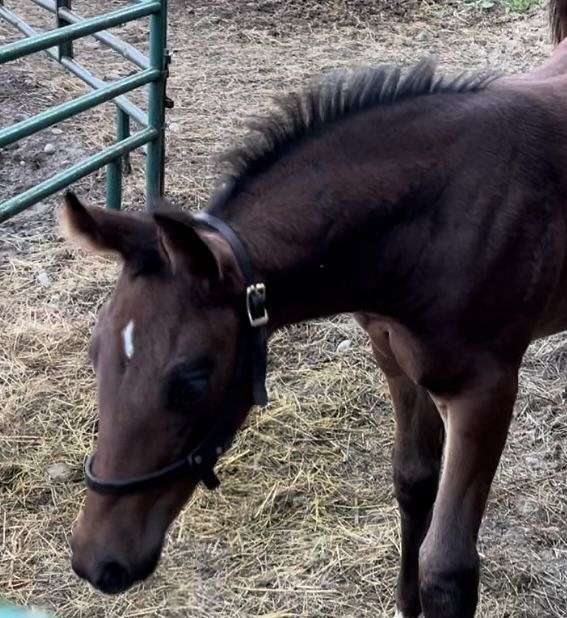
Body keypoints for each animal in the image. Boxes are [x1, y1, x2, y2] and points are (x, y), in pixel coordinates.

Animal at [64, 3, 567, 612]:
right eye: (95, 357)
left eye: (191, 382)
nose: (96, 561)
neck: (435, 223)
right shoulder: (396, 359)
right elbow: (412, 482)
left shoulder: (486, 391)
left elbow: (448, 568)